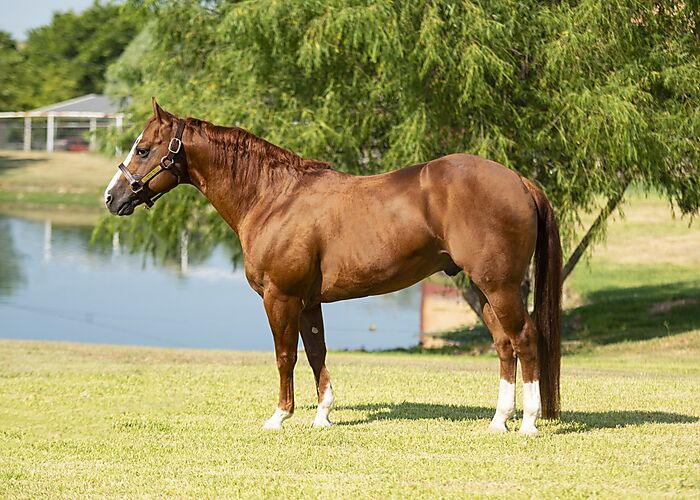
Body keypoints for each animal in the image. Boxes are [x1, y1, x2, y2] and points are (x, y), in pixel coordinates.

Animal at [104, 99, 562, 435]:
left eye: (143, 149)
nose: (112, 197)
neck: (274, 198)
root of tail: (519, 181)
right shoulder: (308, 302)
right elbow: (316, 353)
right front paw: (323, 415)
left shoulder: (281, 297)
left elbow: (285, 355)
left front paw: (279, 416)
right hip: (486, 289)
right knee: (504, 345)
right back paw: (499, 421)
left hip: (500, 286)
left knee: (525, 340)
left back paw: (529, 423)